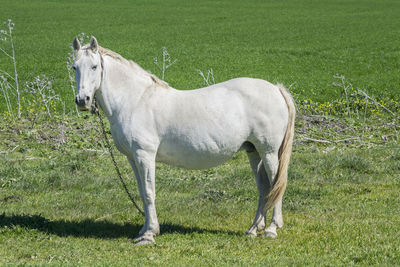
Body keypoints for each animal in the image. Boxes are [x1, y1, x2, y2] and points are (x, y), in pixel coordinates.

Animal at [73, 36, 296, 246]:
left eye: (94, 66)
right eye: (74, 66)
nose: (82, 100)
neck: (135, 100)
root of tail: (275, 89)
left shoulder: (144, 155)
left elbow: (149, 192)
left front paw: (149, 234)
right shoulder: (132, 158)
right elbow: (142, 193)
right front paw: (144, 230)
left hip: (269, 152)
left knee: (276, 185)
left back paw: (271, 229)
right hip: (254, 152)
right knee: (264, 188)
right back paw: (253, 228)